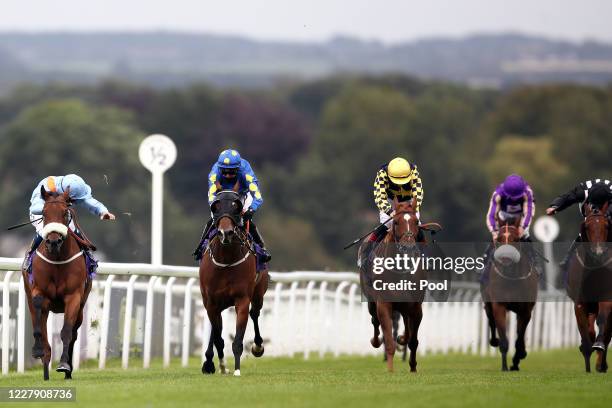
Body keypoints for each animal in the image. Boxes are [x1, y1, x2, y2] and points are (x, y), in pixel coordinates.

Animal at [20, 186, 91, 380]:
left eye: (65, 212)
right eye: (44, 213)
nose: (53, 241)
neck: (57, 259)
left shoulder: (74, 297)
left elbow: (66, 331)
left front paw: (64, 365)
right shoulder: (38, 292)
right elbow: (39, 325)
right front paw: (38, 350)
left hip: (81, 309)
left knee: (73, 333)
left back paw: (68, 371)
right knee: (41, 328)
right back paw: (44, 362)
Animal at [200, 190, 268, 376]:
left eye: (236, 208)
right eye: (215, 207)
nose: (226, 233)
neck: (226, 259)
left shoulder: (242, 299)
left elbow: (237, 339)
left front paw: (236, 369)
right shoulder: (211, 302)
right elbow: (218, 338)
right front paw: (221, 366)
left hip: (258, 294)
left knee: (255, 313)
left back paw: (258, 346)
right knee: (215, 329)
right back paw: (209, 362)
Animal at [482, 217, 536, 372]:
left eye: (516, 238)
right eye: (498, 239)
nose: (506, 257)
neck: (512, 277)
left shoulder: (526, 309)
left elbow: (520, 337)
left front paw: (519, 356)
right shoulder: (499, 305)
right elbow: (504, 338)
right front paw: (504, 366)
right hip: (487, 303)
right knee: (491, 320)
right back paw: (494, 341)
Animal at [564, 202, 612, 372]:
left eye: (606, 225)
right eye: (587, 226)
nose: (598, 252)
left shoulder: (607, 297)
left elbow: (603, 321)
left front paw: (598, 347)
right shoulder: (580, 302)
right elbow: (585, 329)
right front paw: (585, 350)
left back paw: (601, 364)